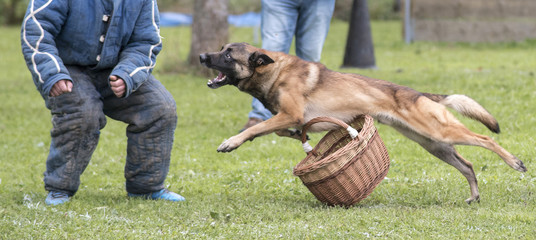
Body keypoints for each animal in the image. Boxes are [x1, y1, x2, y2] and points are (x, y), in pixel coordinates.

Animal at [200, 42, 528, 203]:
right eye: (221, 49)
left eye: (228, 55)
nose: (203, 56)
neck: (273, 71)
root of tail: (420, 93)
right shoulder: (286, 117)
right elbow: (279, 129)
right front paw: (296, 136)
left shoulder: (291, 112)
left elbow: (257, 127)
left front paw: (231, 142)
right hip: (435, 145)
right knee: (468, 165)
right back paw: (474, 195)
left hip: (440, 132)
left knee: (487, 139)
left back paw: (515, 162)